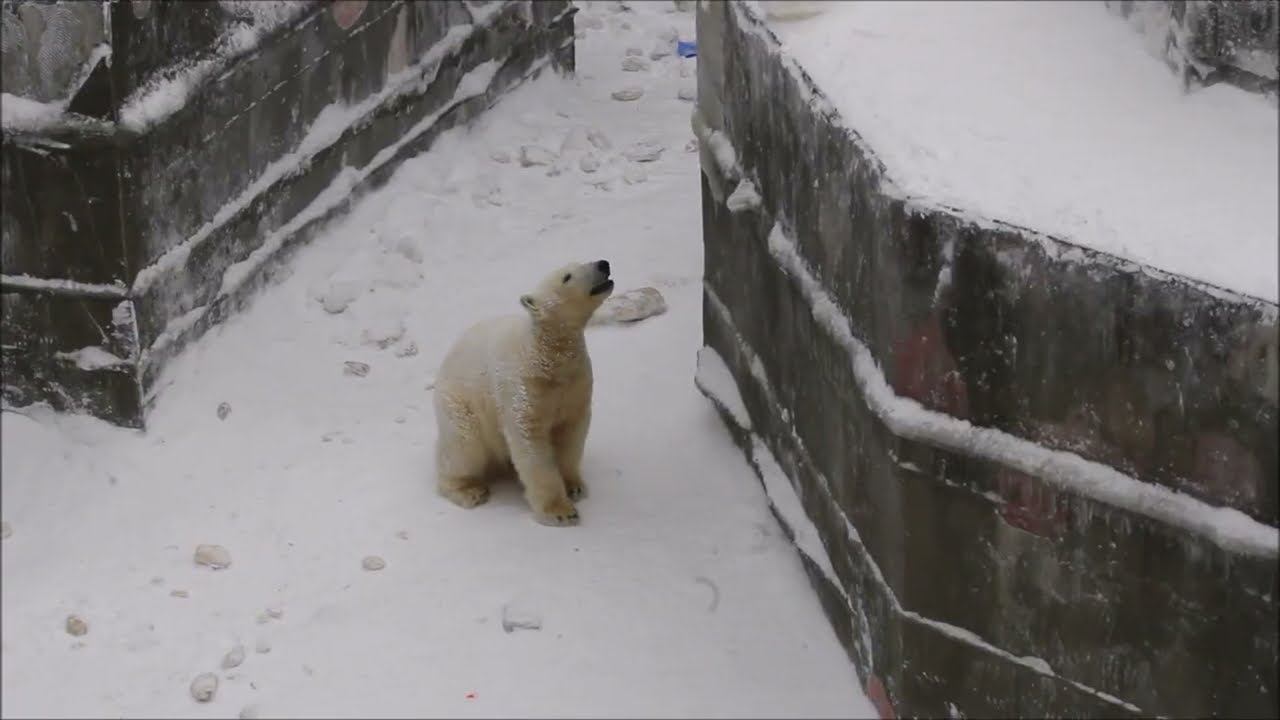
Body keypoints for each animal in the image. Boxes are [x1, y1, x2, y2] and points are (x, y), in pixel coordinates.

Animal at [435, 260, 614, 525]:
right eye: (567, 276)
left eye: (583, 261)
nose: (603, 264)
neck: (542, 355)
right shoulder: (523, 386)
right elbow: (530, 441)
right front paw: (560, 512)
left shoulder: (575, 382)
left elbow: (571, 431)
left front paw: (574, 486)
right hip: (460, 404)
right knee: (464, 446)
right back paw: (468, 490)